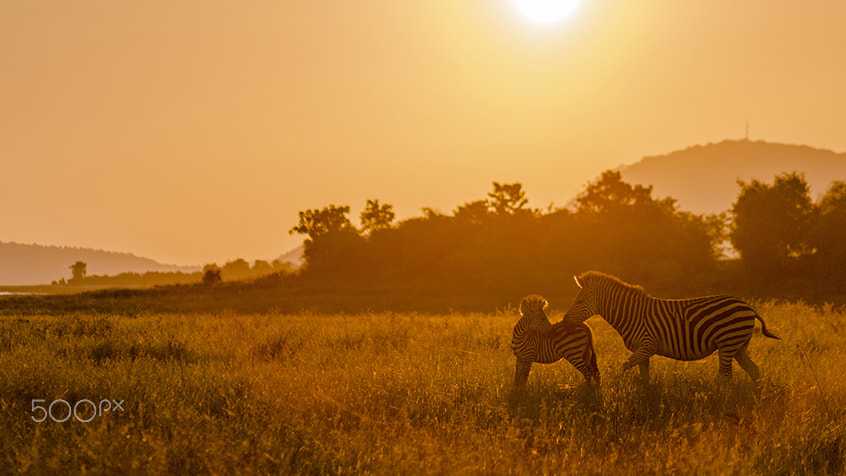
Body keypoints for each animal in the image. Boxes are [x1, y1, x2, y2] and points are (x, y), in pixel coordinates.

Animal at [561, 271, 780, 383]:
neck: (632, 314)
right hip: (739, 345)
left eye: (580, 301)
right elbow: (644, 377)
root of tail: (748, 306)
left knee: (726, 376)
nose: (564, 323)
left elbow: (623, 368)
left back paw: (722, 398)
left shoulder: (647, 345)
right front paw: (646, 398)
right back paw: (754, 395)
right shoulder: (643, 351)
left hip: (728, 343)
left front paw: (615, 387)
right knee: (754, 371)